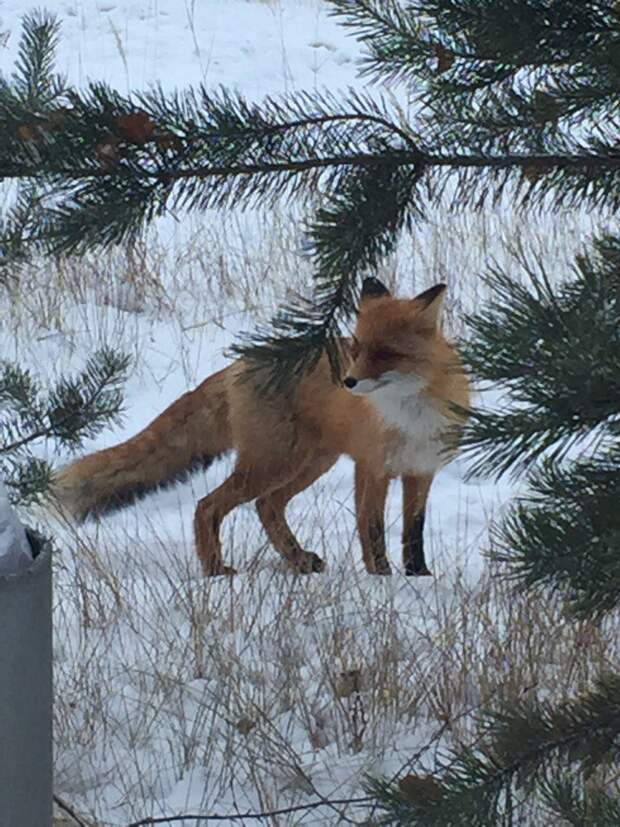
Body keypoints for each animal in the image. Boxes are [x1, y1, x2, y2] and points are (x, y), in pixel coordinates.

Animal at [53, 278, 470, 576]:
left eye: (384, 353)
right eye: (355, 349)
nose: (348, 382)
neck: (411, 416)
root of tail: (239, 363)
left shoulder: (421, 470)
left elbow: (413, 532)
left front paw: (418, 576)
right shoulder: (372, 467)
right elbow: (373, 529)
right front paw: (381, 577)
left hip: (309, 463)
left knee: (266, 506)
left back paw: (298, 561)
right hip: (274, 463)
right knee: (209, 506)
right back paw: (215, 570)